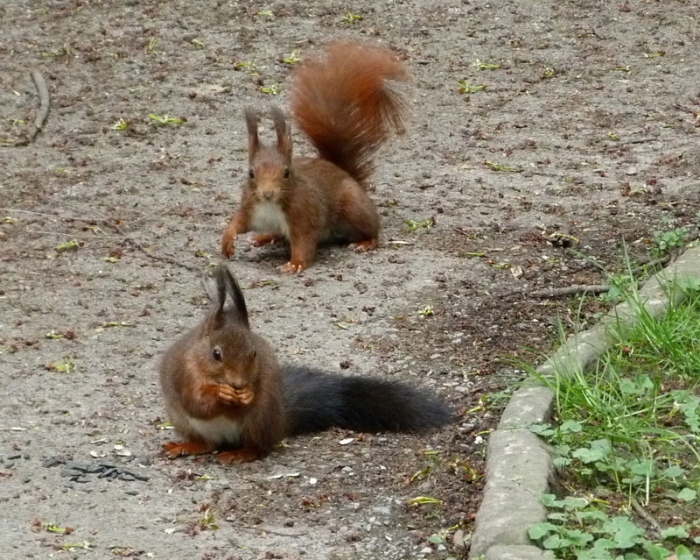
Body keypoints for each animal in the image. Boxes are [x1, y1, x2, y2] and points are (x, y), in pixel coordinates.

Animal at [159, 264, 452, 463]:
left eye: (254, 354)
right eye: (216, 354)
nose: (239, 383)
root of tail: (280, 422)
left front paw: (247, 395)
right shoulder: (184, 374)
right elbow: (197, 401)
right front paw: (222, 393)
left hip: (259, 422)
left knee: (259, 448)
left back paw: (240, 453)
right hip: (186, 423)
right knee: (208, 444)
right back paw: (188, 446)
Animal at [220, 41, 409, 273]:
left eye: (286, 172)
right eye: (251, 173)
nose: (267, 193)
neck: (271, 206)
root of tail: (343, 172)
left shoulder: (303, 216)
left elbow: (304, 243)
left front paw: (294, 264)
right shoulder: (250, 208)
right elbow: (236, 222)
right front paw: (227, 241)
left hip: (354, 207)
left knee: (372, 228)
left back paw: (366, 242)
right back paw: (263, 237)